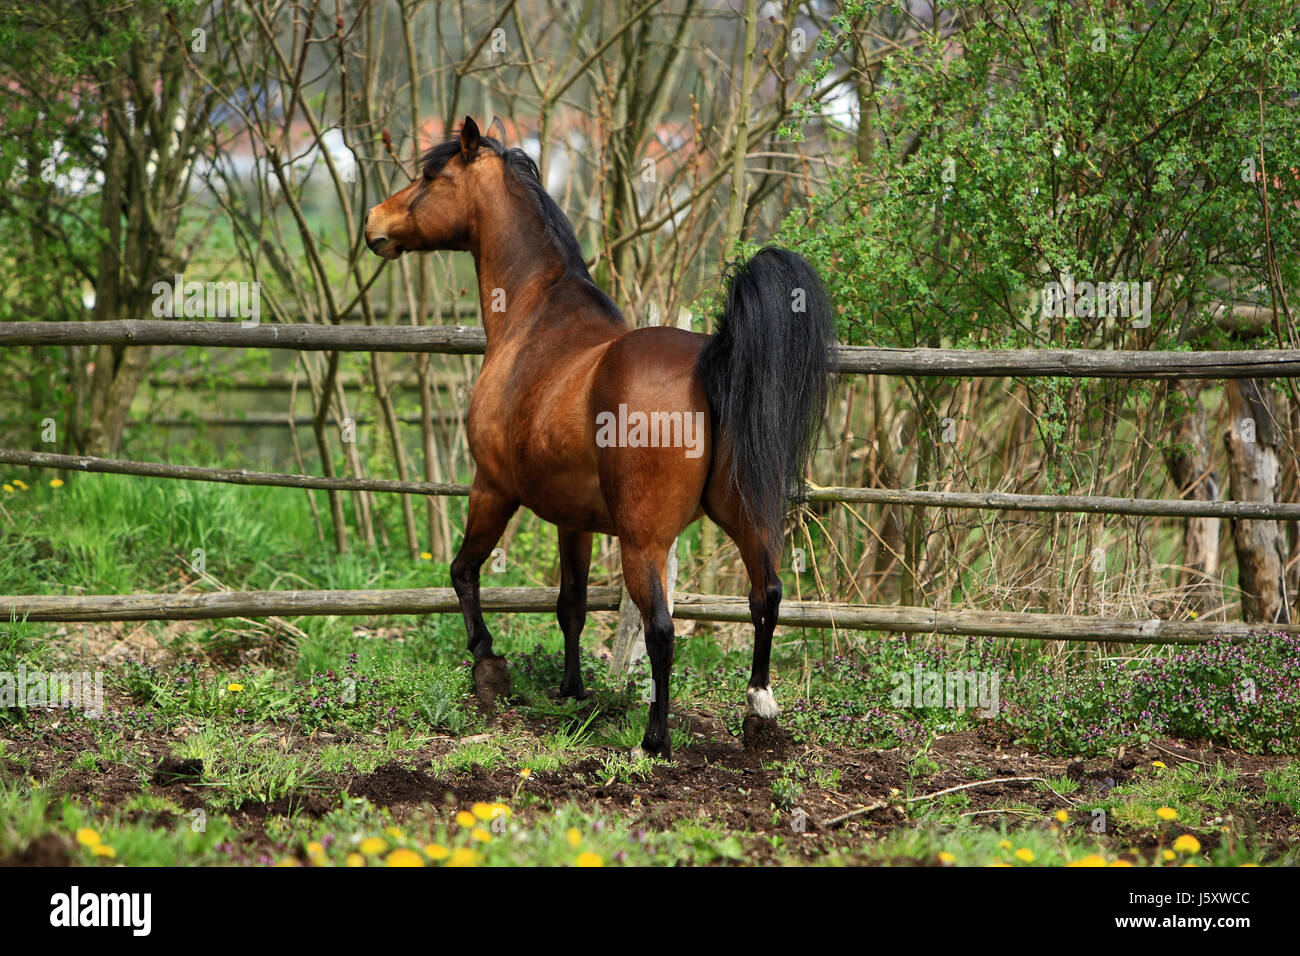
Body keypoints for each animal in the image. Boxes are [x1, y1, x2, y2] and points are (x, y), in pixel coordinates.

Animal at [366, 117, 832, 754]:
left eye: (431, 176)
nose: (374, 223)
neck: (535, 320)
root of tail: (711, 360)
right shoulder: (573, 520)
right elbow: (572, 604)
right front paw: (572, 690)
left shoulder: (492, 488)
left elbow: (464, 571)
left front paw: (487, 662)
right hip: (746, 517)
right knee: (767, 597)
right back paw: (758, 711)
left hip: (643, 542)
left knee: (661, 628)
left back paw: (655, 739)